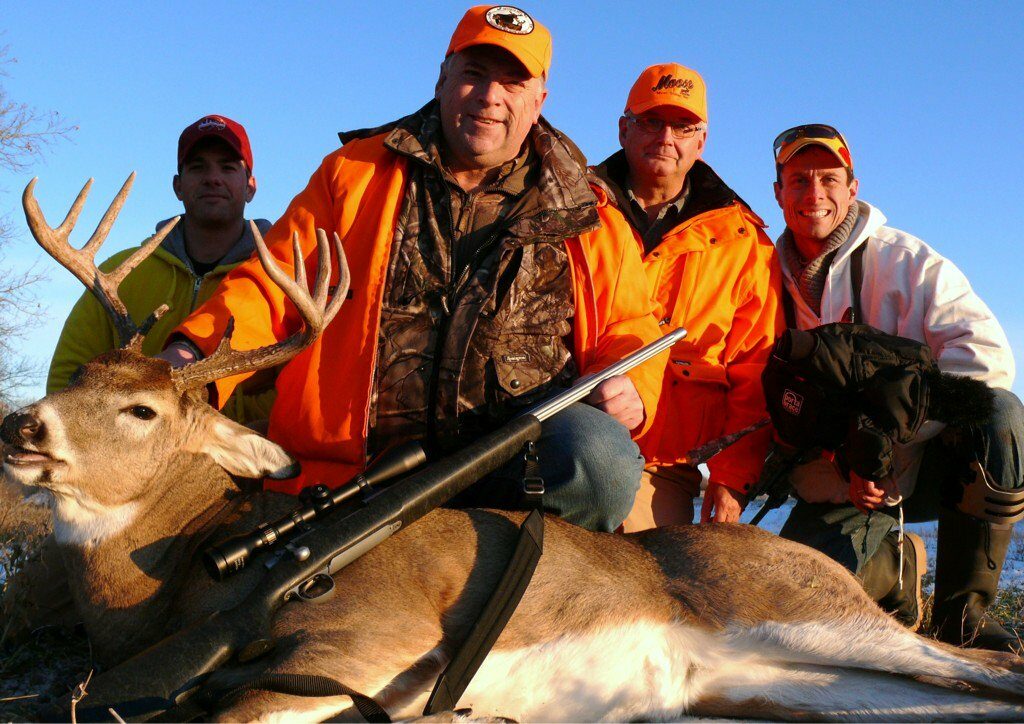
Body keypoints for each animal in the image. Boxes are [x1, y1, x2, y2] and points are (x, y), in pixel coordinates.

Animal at [6, 177, 1024, 724]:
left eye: (140, 409)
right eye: (80, 374)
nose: (23, 426)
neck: (182, 582)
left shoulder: (372, 639)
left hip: (804, 614)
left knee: (991, 667)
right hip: (768, 685)